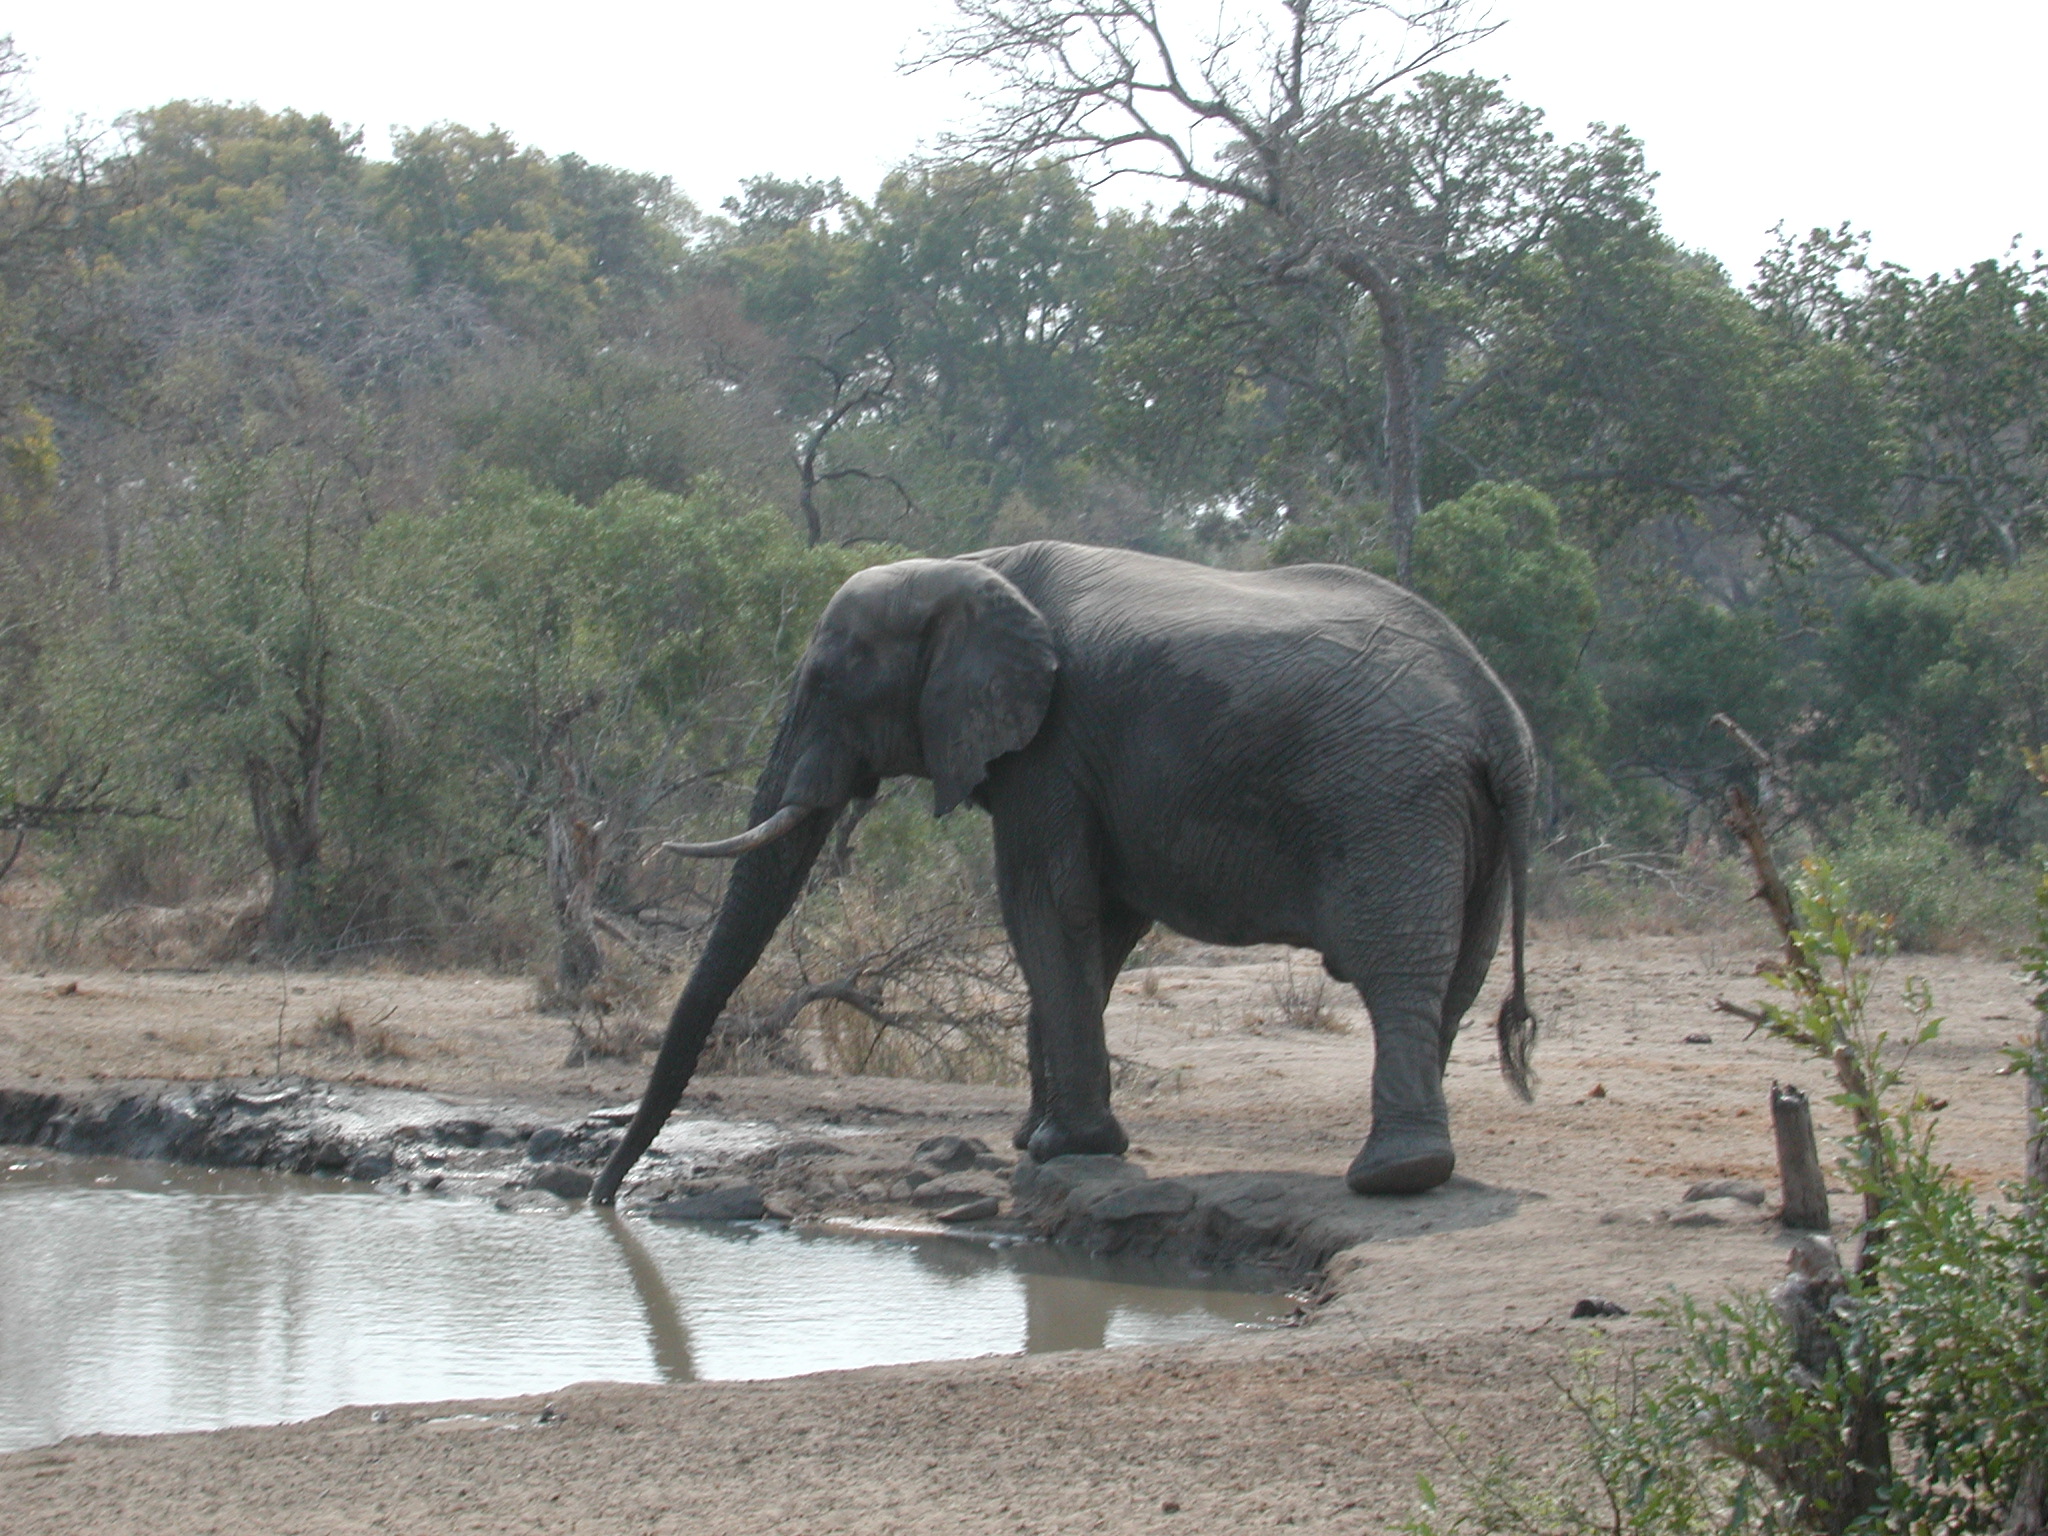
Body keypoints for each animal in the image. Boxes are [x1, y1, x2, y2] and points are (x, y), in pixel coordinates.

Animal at [592, 540, 1538, 1206]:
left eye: (827, 680)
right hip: (1462, 824)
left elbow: (1045, 907)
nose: (602, 1198)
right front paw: (1033, 1140)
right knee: (1458, 974)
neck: (970, 566)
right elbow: (1098, 930)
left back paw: (1394, 1175)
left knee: (1396, 968)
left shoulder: (1052, 743)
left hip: (1389, 800)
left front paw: (1062, 1148)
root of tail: (1498, 716)